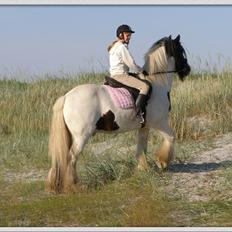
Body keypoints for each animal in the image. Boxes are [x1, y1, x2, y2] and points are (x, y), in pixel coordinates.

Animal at [46, 34, 190, 193]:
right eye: (181, 51)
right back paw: (73, 186)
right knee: (71, 158)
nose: (187, 70)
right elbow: (171, 137)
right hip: (81, 136)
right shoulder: (160, 122)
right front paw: (162, 161)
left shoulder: (144, 127)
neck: (157, 84)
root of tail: (66, 97)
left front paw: (143, 169)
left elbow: (141, 148)